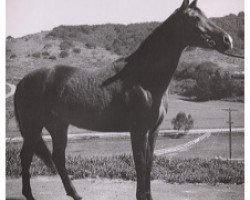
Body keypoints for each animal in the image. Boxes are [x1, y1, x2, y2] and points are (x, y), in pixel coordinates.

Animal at [13, 0, 232, 199]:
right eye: (195, 19)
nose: (227, 40)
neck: (144, 79)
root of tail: (23, 81)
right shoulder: (138, 132)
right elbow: (140, 167)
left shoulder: (153, 131)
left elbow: (148, 166)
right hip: (33, 127)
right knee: (26, 157)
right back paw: (30, 194)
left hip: (59, 126)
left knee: (57, 157)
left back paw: (75, 194)